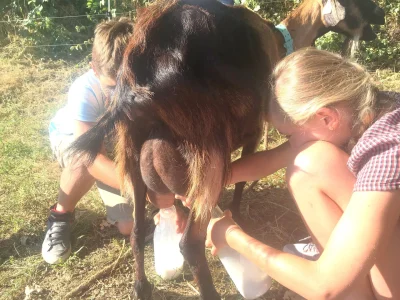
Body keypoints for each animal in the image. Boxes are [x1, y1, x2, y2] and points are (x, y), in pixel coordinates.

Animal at [72, 1, 384, 298]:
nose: (380, 15)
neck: (281, 38)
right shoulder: (254, 132)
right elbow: (242, 181)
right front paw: (236, 215)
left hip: (132, 154)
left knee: (137, 231)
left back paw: (141, 287)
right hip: (206, 154)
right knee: (191, 244)